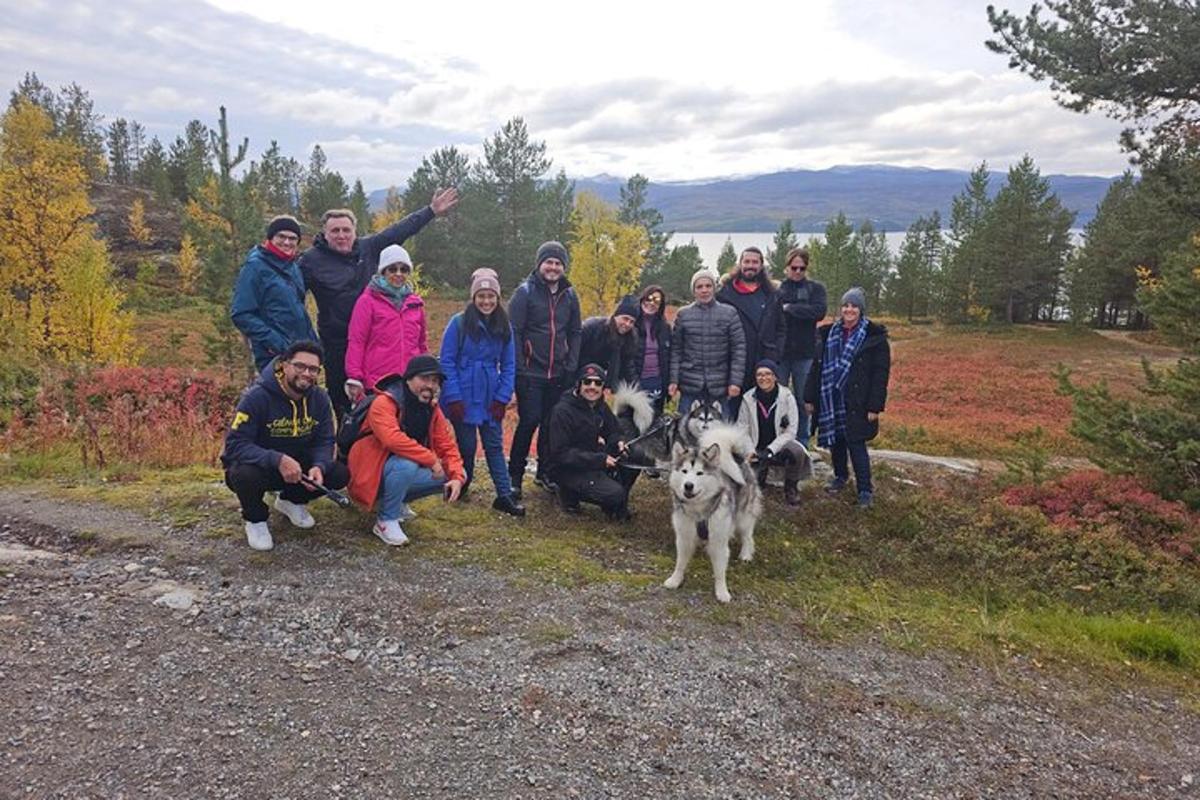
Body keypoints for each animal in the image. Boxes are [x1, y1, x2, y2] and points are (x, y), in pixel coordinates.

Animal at [662, 424, 763, 599]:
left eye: (699, 473)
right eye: (684, 471)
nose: (688, 485)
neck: (698, 510)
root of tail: (737, 458)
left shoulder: (719, 540)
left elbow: (720, 571)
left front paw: (722, 592)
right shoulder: (684, 536)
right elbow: (680, 562)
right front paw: (675, 580)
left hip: (743, 517)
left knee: (747, 536)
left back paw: (745, 555)